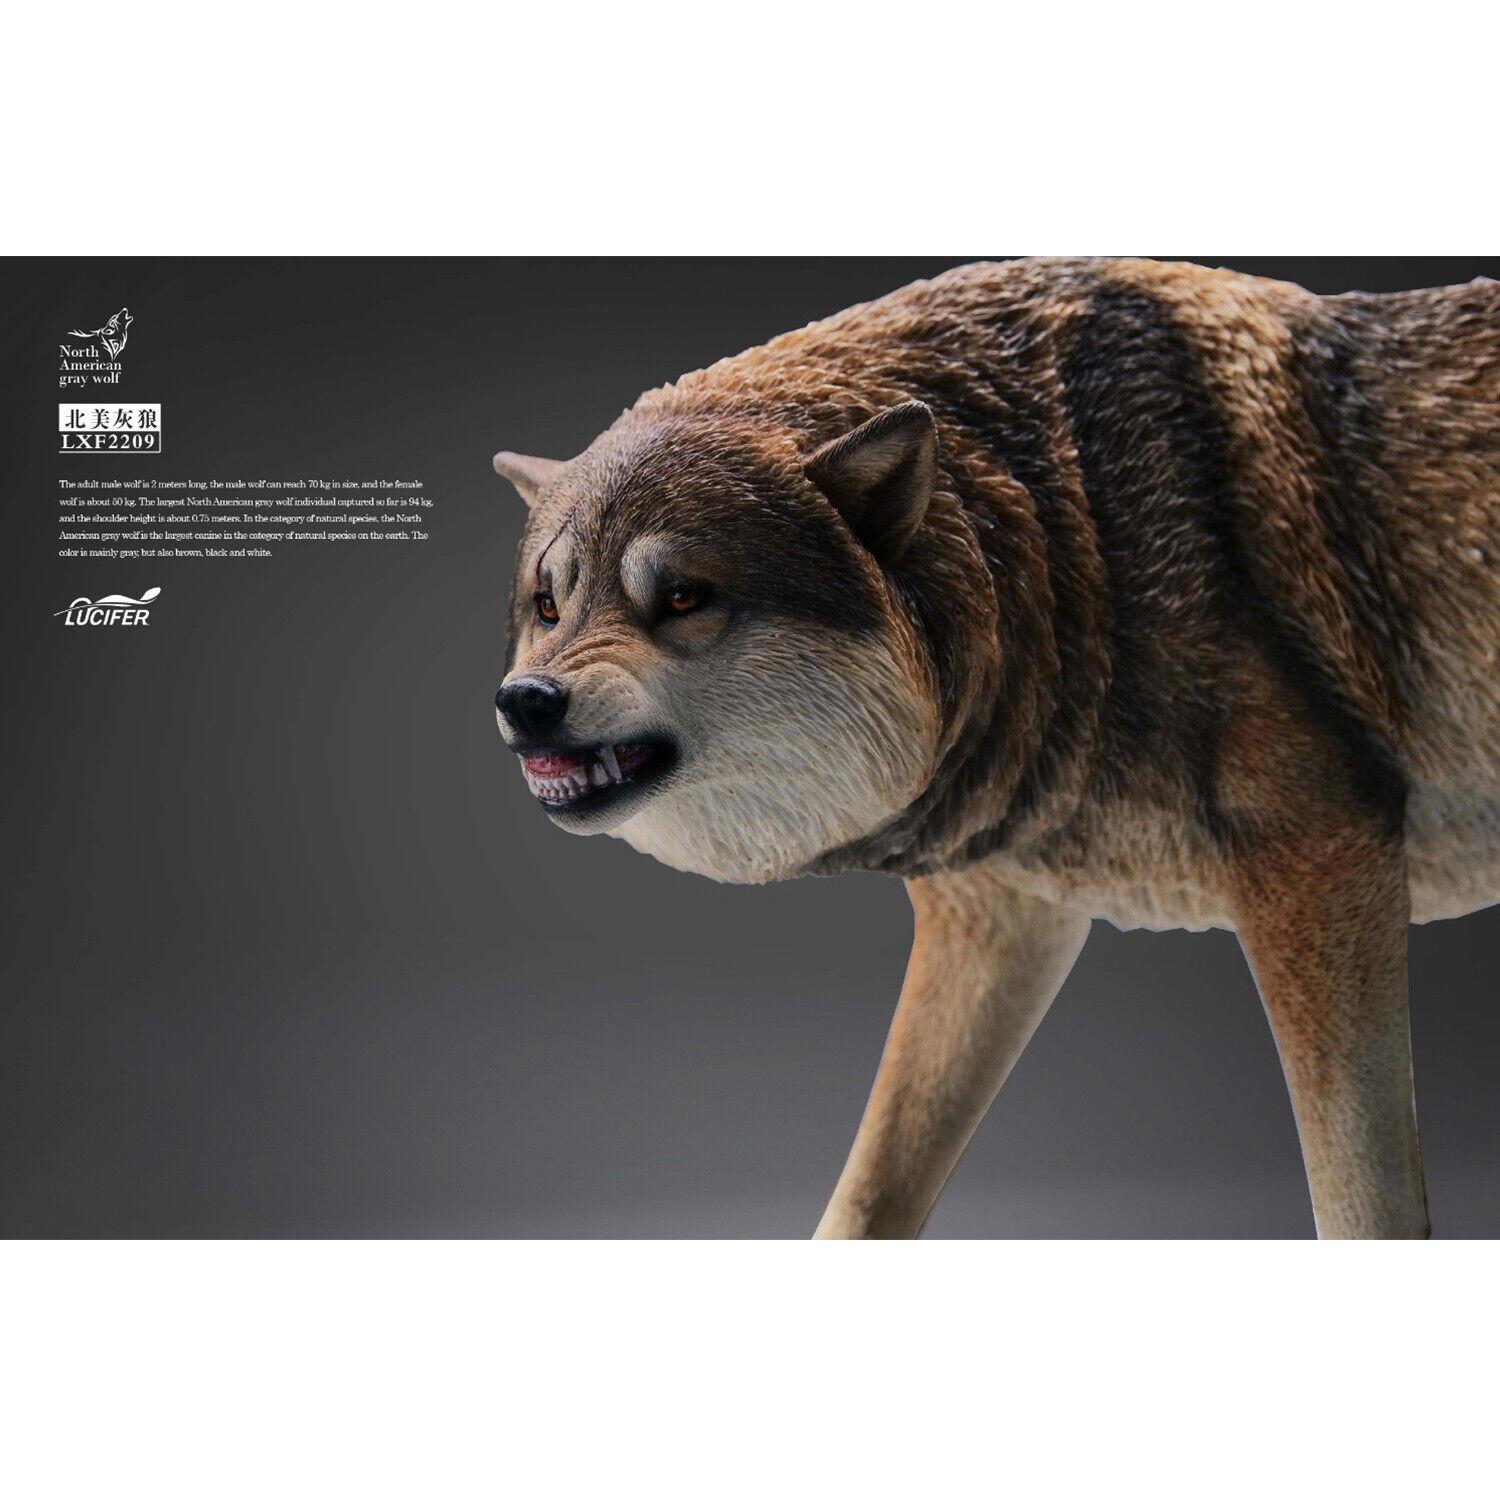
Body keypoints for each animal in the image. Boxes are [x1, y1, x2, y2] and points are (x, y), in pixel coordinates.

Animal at [492, 259, 1499, 1239]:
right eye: (549, 605)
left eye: (683, 598)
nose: (525, 702)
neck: (1074, 533)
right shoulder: (998, 924)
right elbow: (864, 1201)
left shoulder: (1325, 858)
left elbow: (1362, 1206)